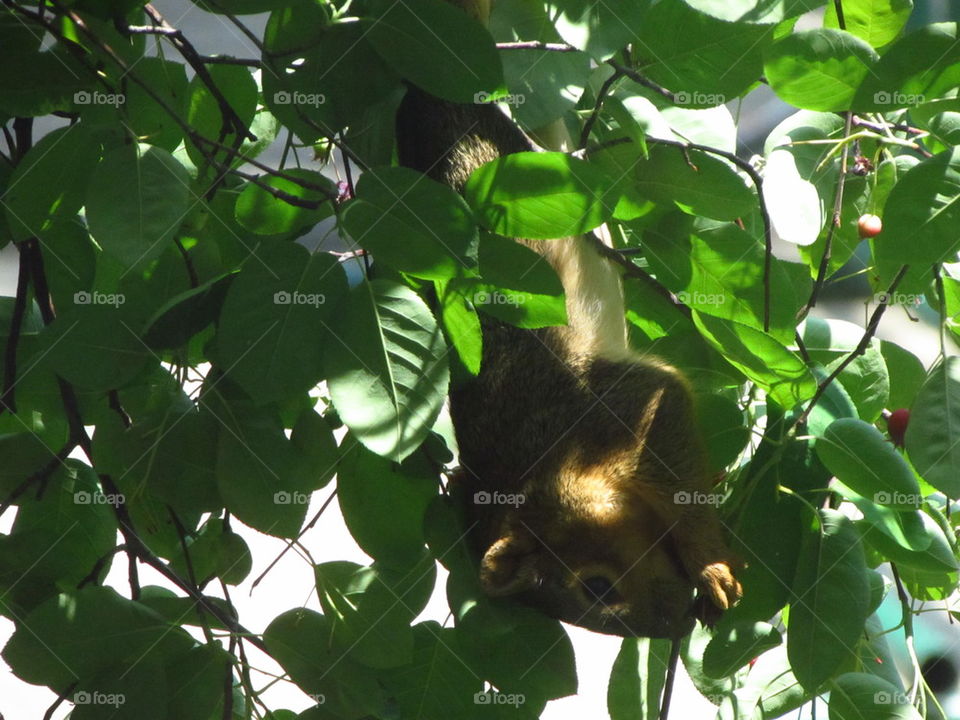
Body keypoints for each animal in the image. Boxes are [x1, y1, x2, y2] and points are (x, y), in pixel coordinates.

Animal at [394, 0, 740, 636]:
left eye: (596, 587)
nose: (673, 625)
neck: (544, 463)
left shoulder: (619, 404)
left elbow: (676, 455)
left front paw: (711, 568)